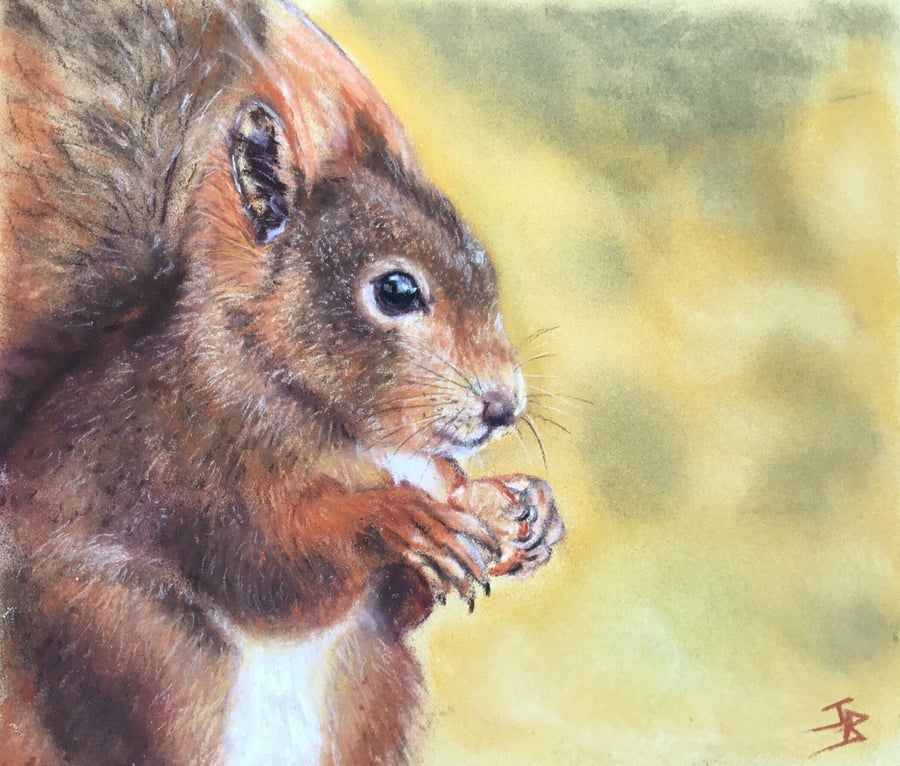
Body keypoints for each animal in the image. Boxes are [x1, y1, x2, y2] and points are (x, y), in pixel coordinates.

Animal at [0, 1, 565, 764]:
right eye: (394, 291)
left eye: (486, 271)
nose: (503, 407)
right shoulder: (182, 456)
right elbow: (270, 569)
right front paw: (400, 518)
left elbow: (404, 600)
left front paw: (522, 504)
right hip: (133, 647)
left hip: (372, 690)